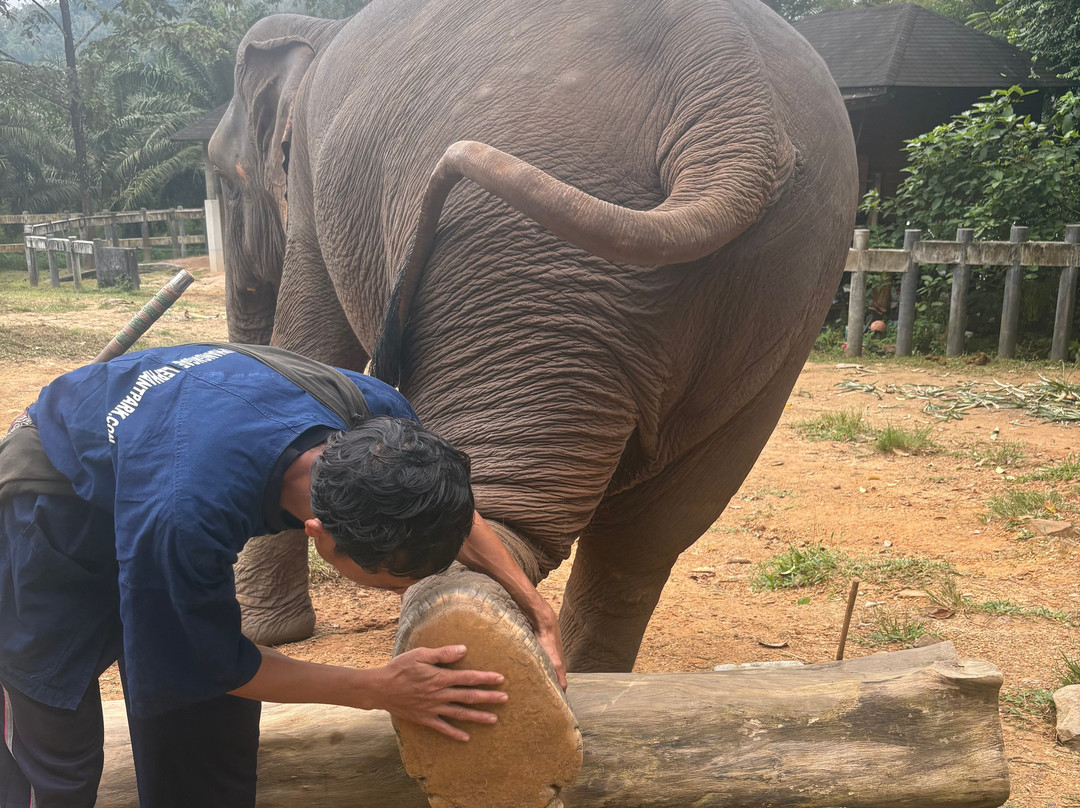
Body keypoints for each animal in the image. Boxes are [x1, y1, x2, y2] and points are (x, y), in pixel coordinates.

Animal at [208, 0, 858, 673]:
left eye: (224, 184)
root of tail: (731, 102)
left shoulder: (314, 198)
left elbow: (311, 342)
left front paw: (266, 635)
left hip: (522, 265)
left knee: (495, 510)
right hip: (782, 287)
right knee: (645, 543)